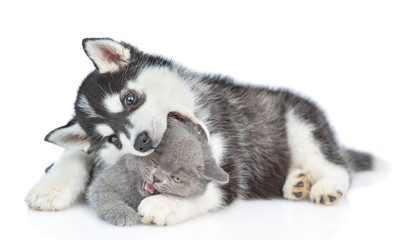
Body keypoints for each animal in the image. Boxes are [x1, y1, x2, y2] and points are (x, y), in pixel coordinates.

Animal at [86, 119, 229, 226]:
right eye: (155, 162)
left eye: (176, 178)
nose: (156, 178)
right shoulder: (108, 179)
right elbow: (104, 195)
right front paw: (122, 213)